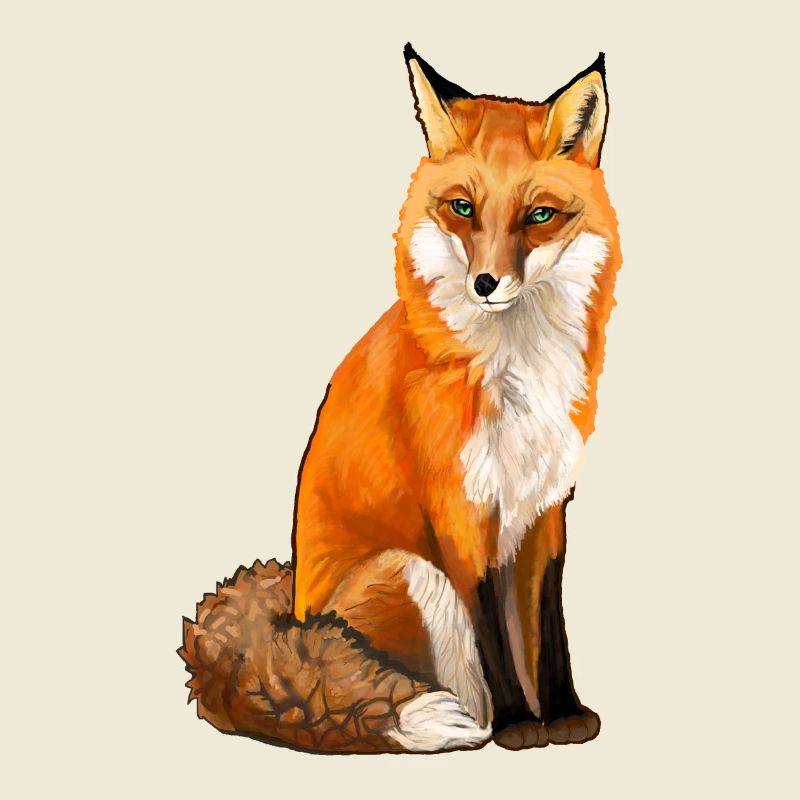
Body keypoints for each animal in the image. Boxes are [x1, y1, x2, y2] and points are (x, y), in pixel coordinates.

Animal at [181, 44, 621, 755]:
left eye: (539, 216)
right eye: (463, 208)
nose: (486, 283)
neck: (516, 370)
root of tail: (290, 617)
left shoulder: (545, 506)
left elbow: (548, 627)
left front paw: (563, 712)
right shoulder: (458, 511)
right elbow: (494, 635)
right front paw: (521, 724)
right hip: (412, 570)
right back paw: (472, 722)